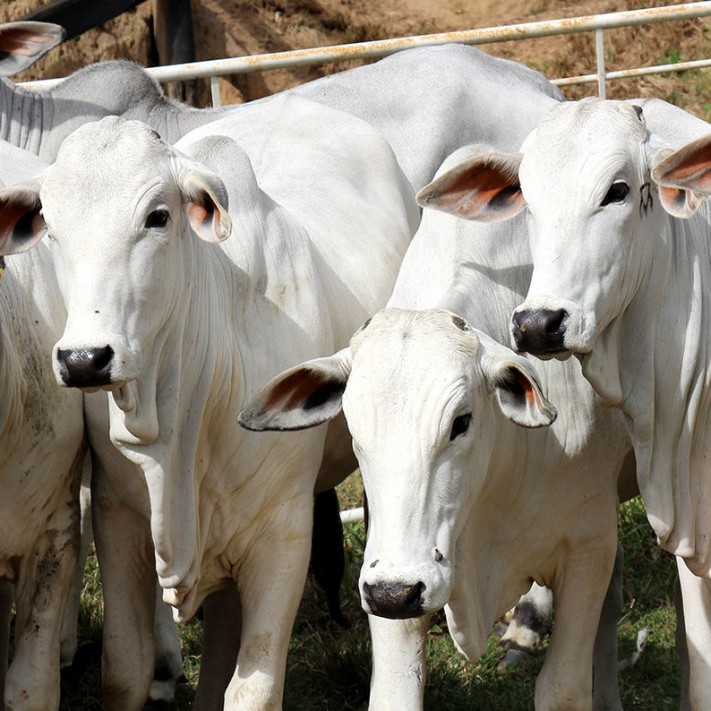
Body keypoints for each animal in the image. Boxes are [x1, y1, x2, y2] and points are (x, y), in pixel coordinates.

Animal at [0, 94, 417, 709]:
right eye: (50, 225)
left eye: (158, 216)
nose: (84, 359)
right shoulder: (118, 517)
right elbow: (125, 669)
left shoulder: (283, 536)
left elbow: (252, 691)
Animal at [238, 143, 633, 711]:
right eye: (354, 430)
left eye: (460, 422)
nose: (395, 591)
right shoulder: (392, 571)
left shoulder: (588, 548)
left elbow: (564, 685)